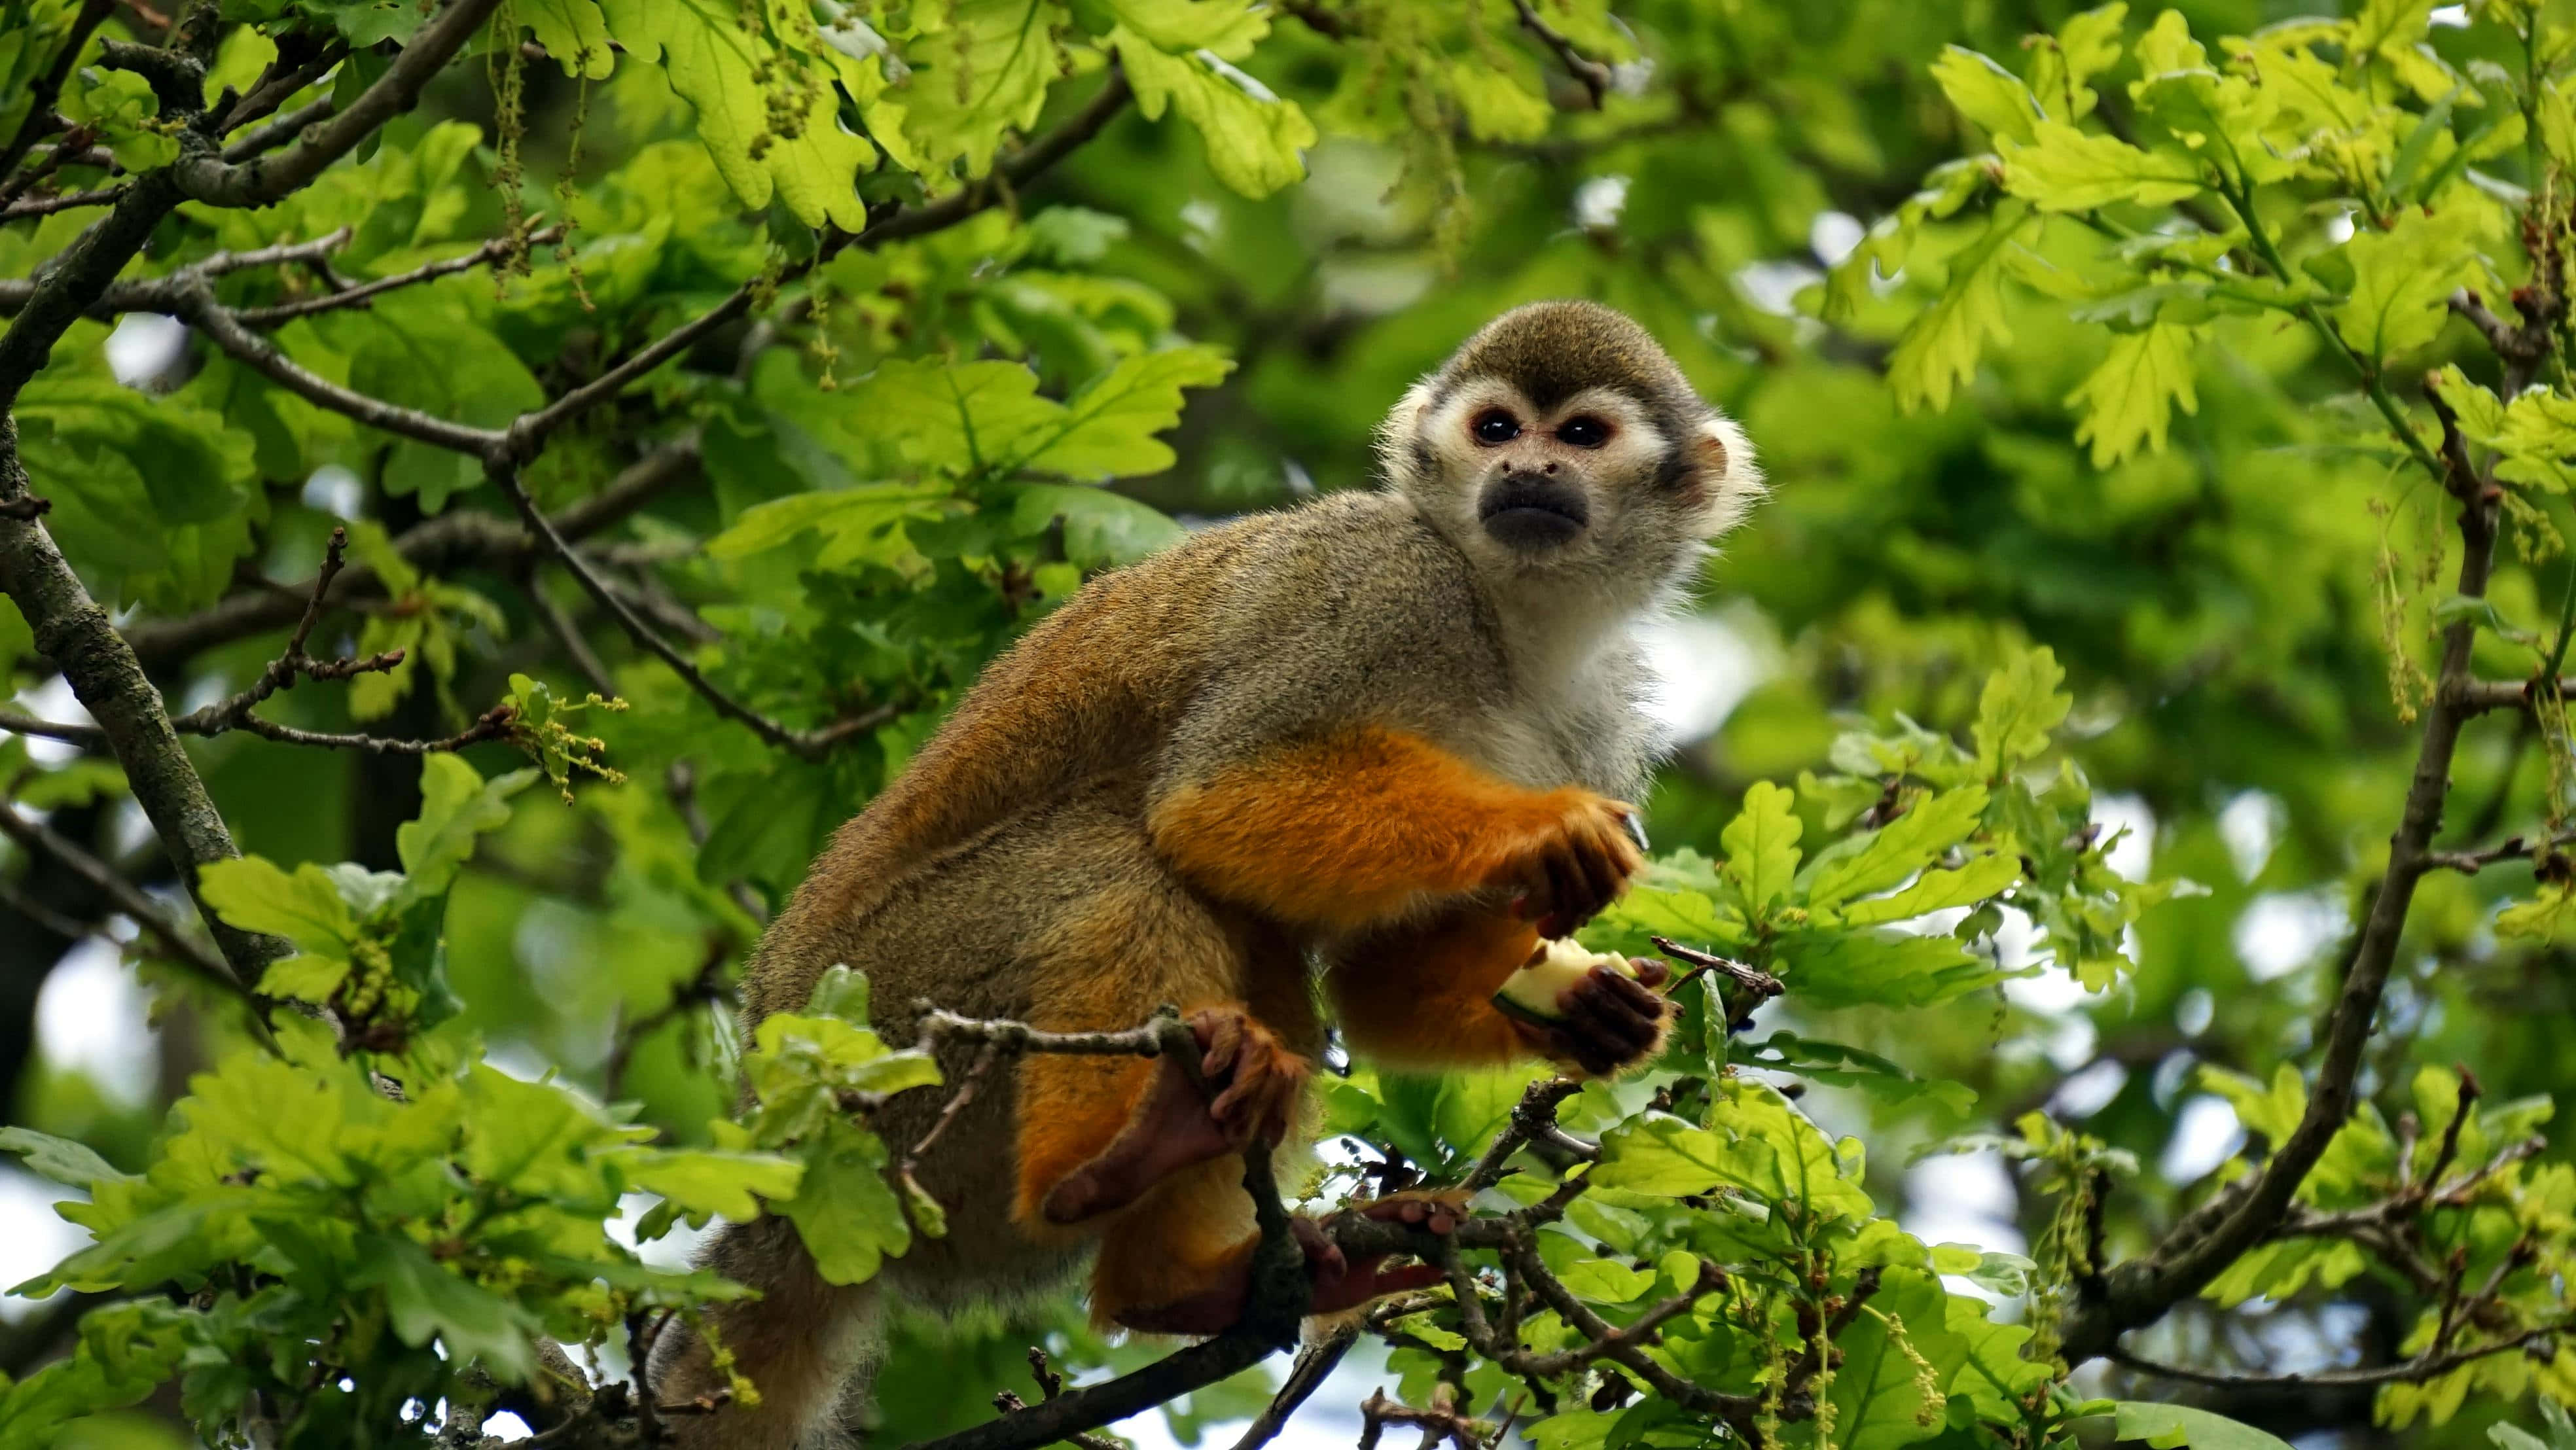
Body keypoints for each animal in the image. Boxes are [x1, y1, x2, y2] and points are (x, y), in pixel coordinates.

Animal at [650, 300, 1763, 1449]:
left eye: (1581, 437)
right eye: (1496, 428)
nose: (1529, 469)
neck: (1512, 620)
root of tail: (783, 1126)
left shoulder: (1603, 718)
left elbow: (1373, 982)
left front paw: (1589, 1013)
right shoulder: (1379, 583)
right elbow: (1211, 795)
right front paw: (1541, 832)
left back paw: (1179, 1279)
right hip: (886, 1027)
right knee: (1123, 860)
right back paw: (1104, 1167)